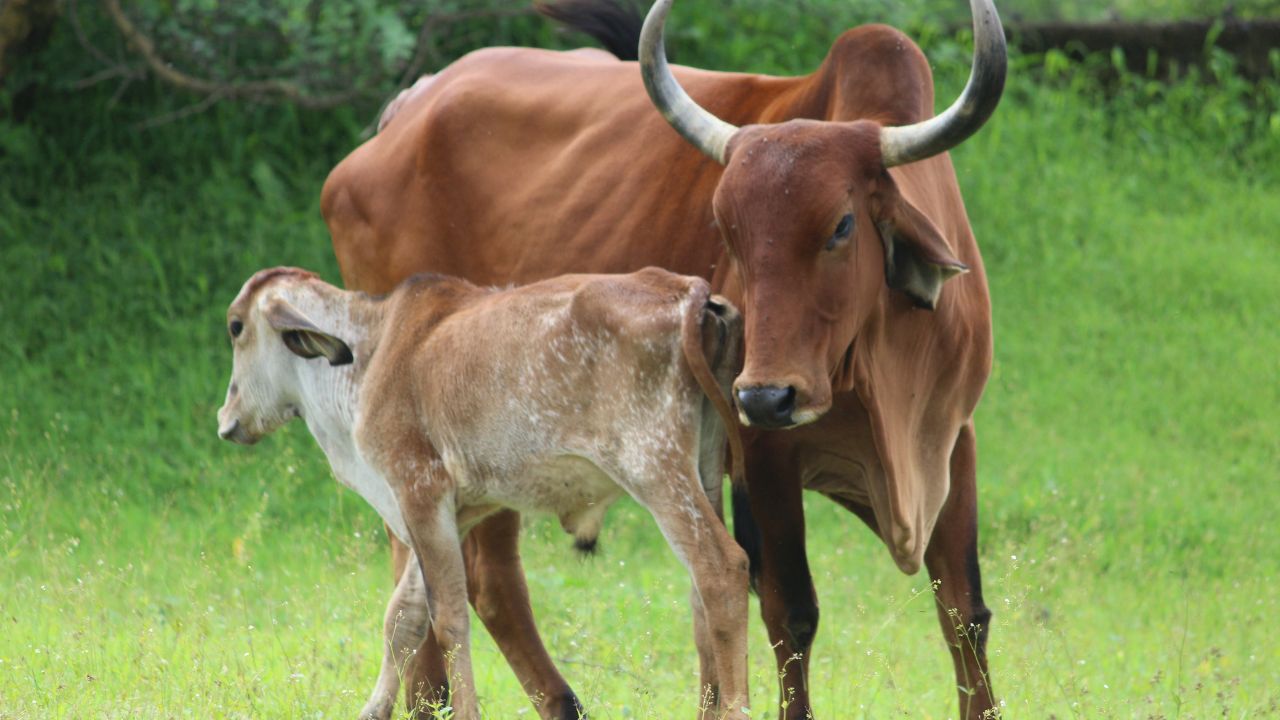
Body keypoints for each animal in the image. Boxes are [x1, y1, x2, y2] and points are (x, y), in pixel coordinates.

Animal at [215, 266, 751, 720]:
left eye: (236, 327)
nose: (226, 421)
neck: (370, 353)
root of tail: (685, 290)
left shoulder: (417, 490)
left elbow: (448, 620)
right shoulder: (449, 511)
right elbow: (403, 620)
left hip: (654, 469)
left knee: (721, 571)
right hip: (703, 469)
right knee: (700, 599)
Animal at [320, 0, 1007, 717]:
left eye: (841, 226)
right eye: (726, 229)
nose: (766, 396)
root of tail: (407, 110)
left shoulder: (953, 438)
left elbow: (965, 614)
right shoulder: (764, 456)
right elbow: (792, 614)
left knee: (459, 578)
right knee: (463, 576)